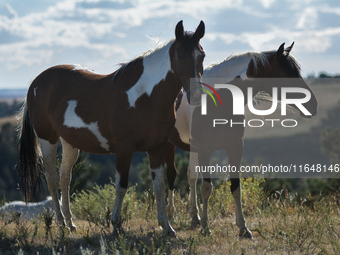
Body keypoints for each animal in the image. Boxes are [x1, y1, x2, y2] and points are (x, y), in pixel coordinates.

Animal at [17, 20, 206, 237]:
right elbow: (121, 186)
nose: (197, 95)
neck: (145, 96)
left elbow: (159, 186)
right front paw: (116, 224)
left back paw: (70, 223)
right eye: (180, 55)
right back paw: (61, 222)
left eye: (202, 55)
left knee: (65, 178)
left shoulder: (158, 147)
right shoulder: (124, 148)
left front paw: (167, 227)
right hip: (47, 139)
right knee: (52, 179)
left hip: (70, 142)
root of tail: (36, 82)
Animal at [166, 42, 318, 238]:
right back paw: (171, 214)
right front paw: (206, 228)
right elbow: (206, 188)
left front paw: (243, 228)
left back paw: (194, 217)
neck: (218, 101)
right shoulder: (206, 150)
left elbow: (236, 188)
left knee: (191, 176)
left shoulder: (235, 148)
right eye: (288, 74)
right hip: (168, 145)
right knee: (171, 175)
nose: (313, 105)